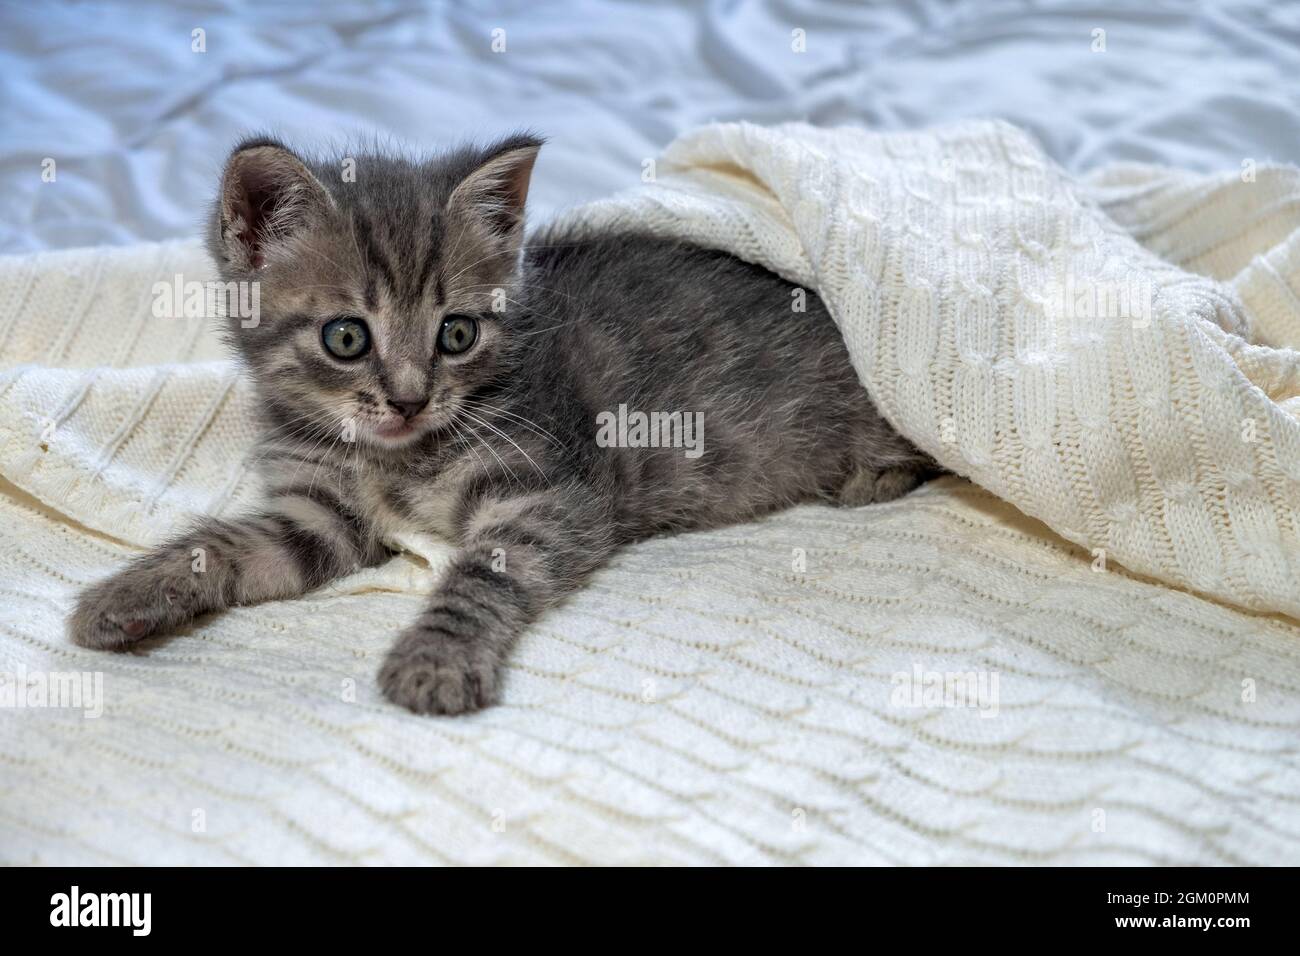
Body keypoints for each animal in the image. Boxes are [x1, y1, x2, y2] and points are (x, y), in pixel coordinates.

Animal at [68, 138, 935, 712]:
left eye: (456, 333)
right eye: (346, 338)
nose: (410, 399)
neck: (393, 457)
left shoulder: (545, 496)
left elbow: (478, 579)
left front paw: (435, 661)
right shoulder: (321, 515)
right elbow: (227, 543)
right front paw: (125, 594)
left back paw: (874, 474)